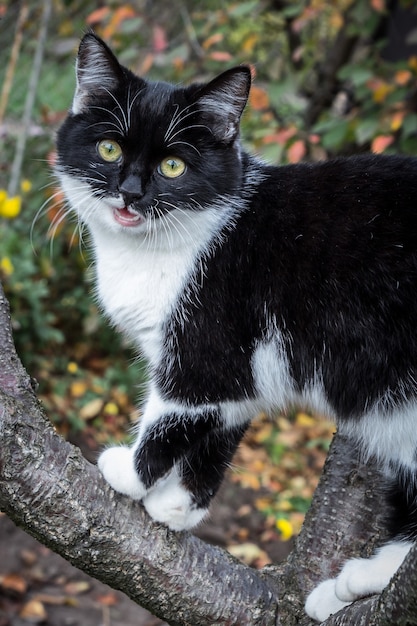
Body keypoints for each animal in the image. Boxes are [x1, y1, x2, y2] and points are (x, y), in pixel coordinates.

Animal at [55, 33, 417, 620]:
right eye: (108, 149)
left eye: (173, 165)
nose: (129, 192)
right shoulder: (242, 365)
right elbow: (222, 420)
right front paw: (180, 506)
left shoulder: (209, 340)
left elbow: (174, 413)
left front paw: (130, 474)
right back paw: (357, 581)